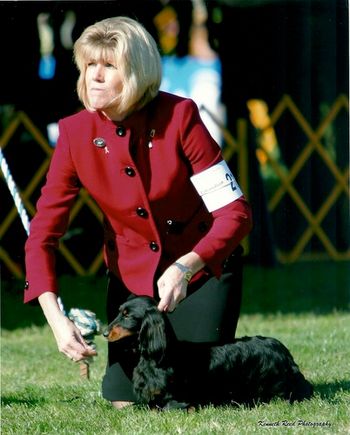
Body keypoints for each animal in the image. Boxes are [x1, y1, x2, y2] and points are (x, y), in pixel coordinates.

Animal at [103, 294, 312, 410]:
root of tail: (282, 350)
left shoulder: (178, 400)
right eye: (119, 311)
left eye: (127, 315)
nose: (104, 333)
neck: (159, 356)